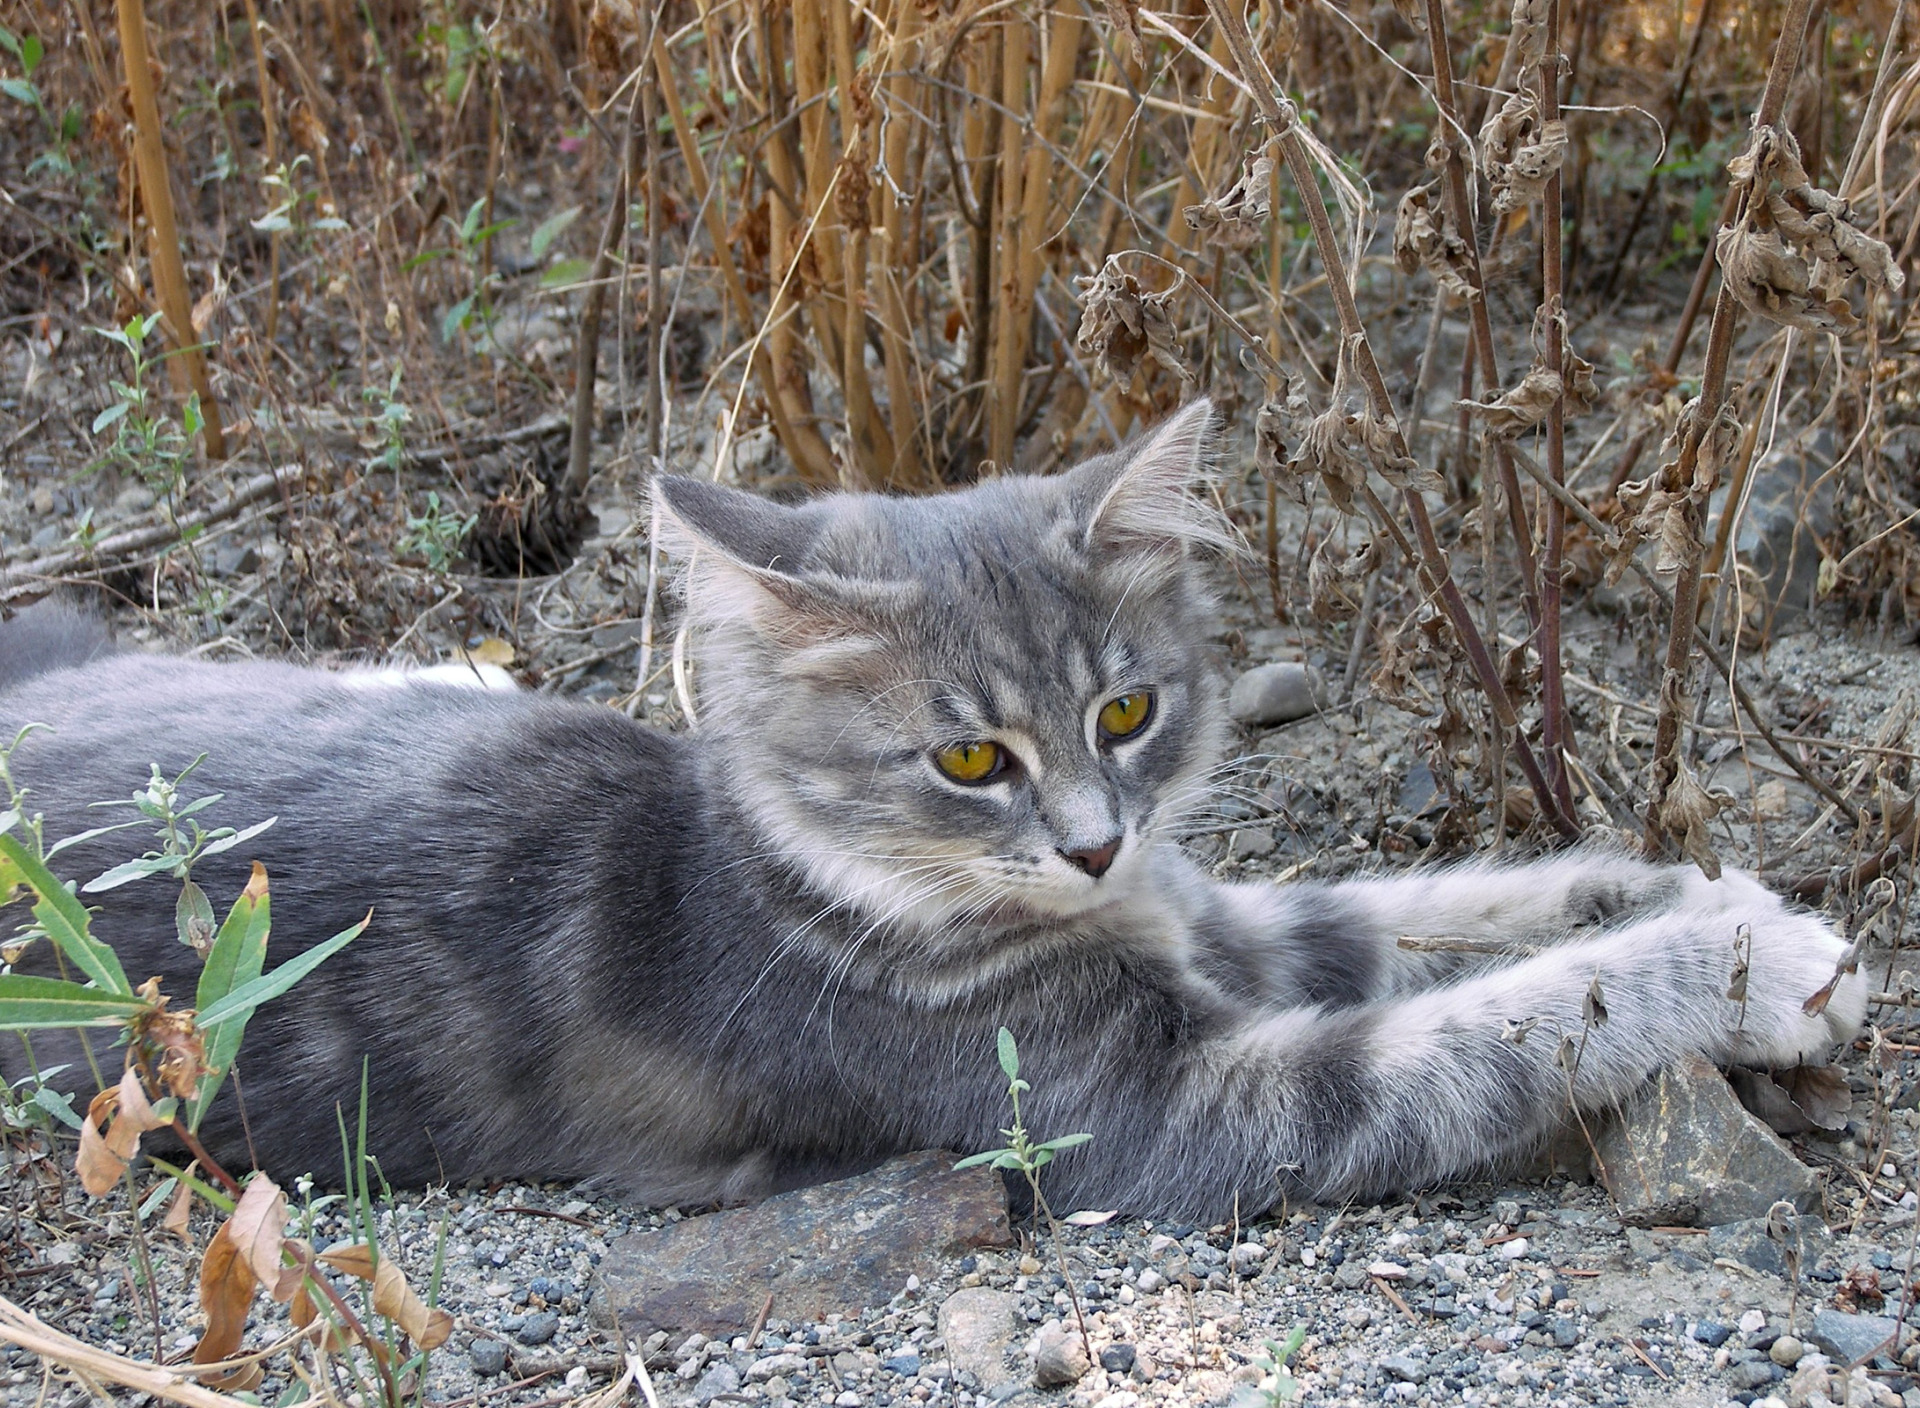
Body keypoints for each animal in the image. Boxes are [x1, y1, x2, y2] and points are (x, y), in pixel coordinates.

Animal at [0, 397, 1858, 1221]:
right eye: (972, 763)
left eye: (1126, 711)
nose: (1094, 840)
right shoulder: (1166, 1112)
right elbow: (1504, 1023)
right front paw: (1734, 964)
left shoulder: (1212, 909)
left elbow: (1426, 908)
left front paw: (1694, 891)